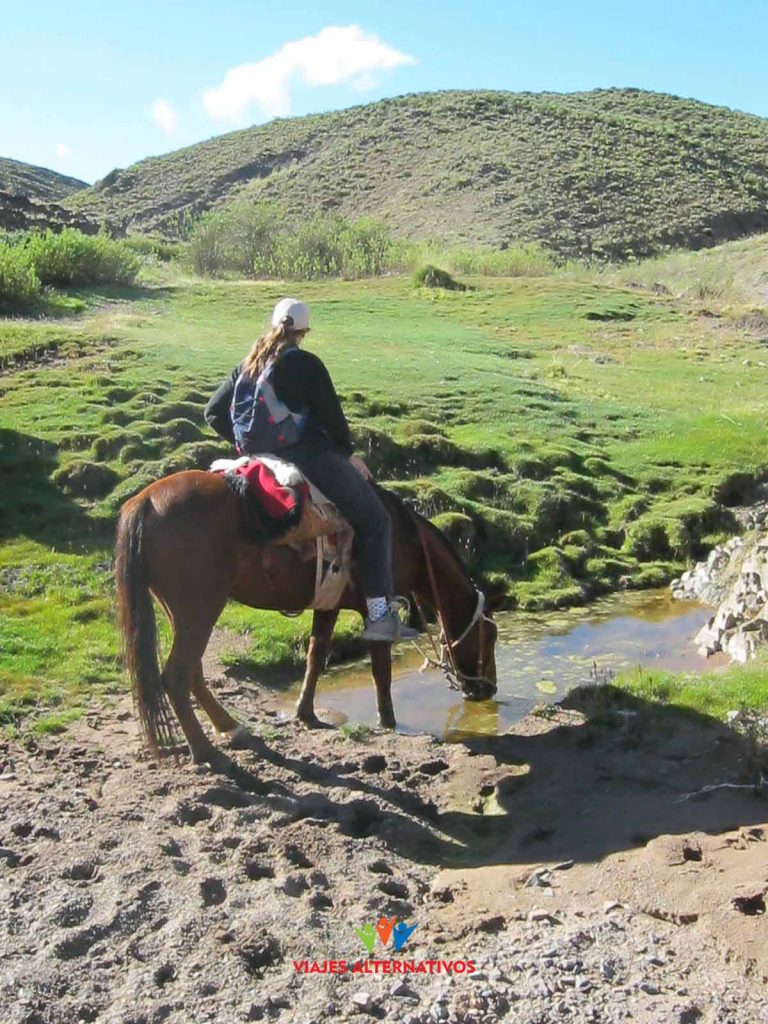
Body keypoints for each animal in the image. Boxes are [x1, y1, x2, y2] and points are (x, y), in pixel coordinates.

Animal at [115, 469, 500, 771]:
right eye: (490, 636)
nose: (488, 689)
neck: (404, 537)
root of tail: (145, 501)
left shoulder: (328, 605)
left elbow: (316, 656)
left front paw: (306, 713)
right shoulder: (375, 605)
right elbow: (381, 670)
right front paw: (388, 721)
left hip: (183, 611)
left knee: (191, 671)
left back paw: (231, 728)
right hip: (199, 607)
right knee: (178, 675)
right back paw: (207, 751)